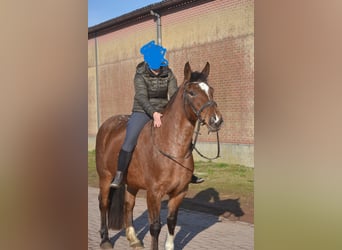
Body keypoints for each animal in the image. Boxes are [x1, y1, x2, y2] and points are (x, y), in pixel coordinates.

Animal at [95, 61, 224, 249]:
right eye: (192, 92)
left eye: (211, 90)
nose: (216, 120)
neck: (172, 146)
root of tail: (107, 125)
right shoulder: (154, 194)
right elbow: (155, 226)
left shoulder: (179, 193)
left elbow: (171, 221)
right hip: (105, 178)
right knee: (104, 203)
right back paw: (105, 240)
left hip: (132, 182)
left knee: (128, 205)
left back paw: (134, 239)